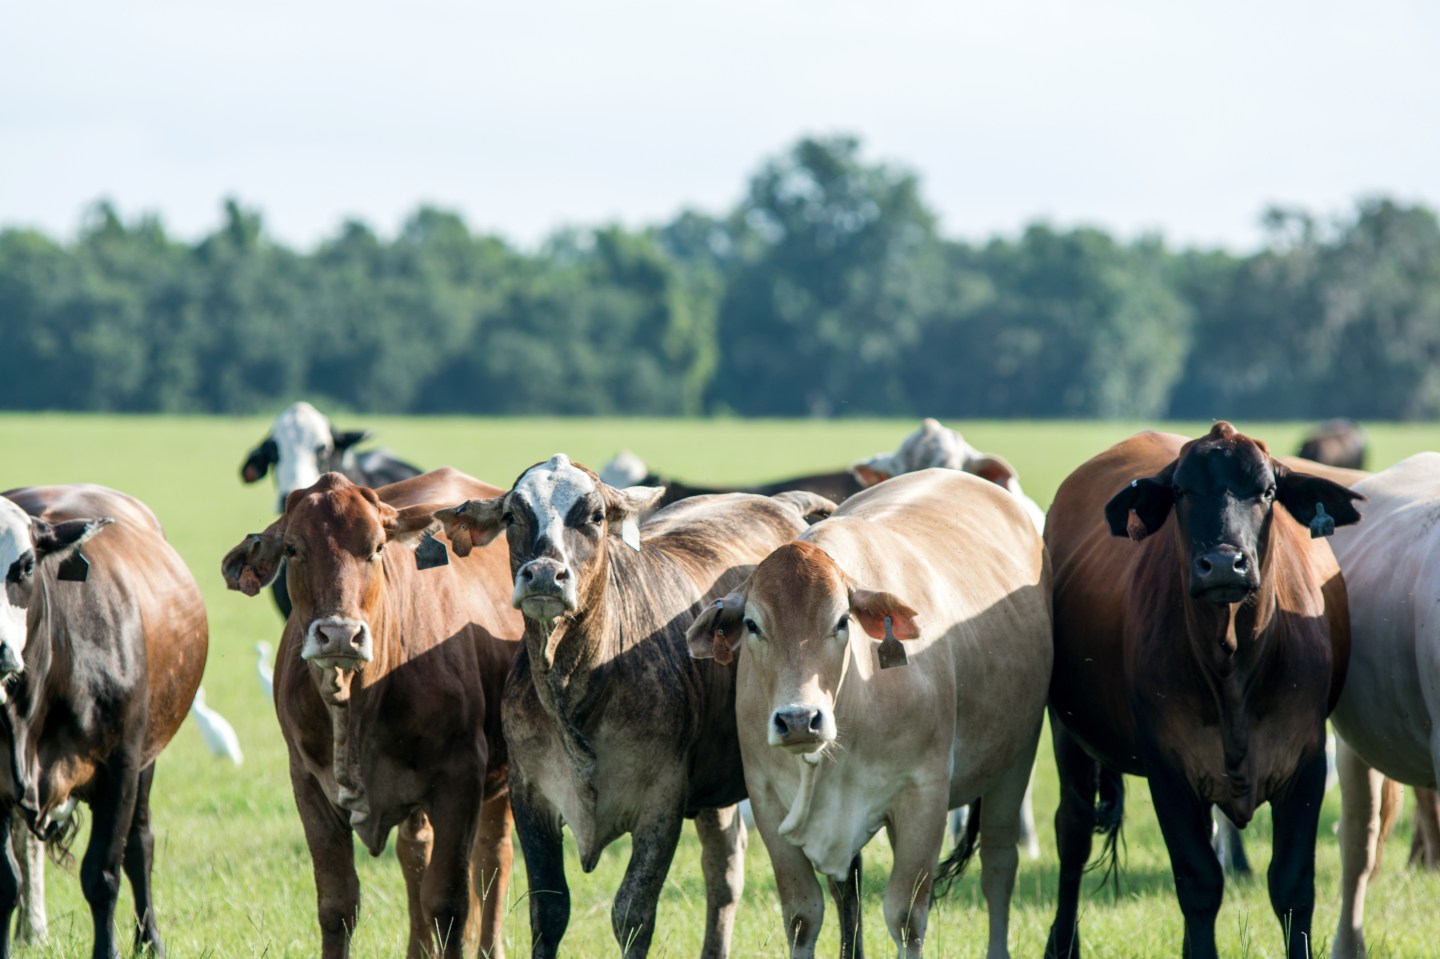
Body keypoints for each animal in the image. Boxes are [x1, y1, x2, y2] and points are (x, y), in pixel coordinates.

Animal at [0, 484, 207, 959]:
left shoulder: (120, 769)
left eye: (23, 566)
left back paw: (148, 939)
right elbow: (5, 880)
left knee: (139, 845)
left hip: (146, 762)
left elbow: (103, 875)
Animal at [221, 468, 521, 959]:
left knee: (491, 861)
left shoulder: (460, 780)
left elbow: (448, 902)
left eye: (377, 547)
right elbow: (337, 904)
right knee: (416, 852)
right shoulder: (308, 784)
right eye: (292, 548)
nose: (340, 634)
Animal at [434, 454, 831, 958]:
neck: (577, 686)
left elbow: (632, 914)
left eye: (596, 516)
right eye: (511, 516)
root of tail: (783, 502)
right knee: (724, 874)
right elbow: (548, 910)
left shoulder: (661, 801)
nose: (543, 574)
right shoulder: (530, 795)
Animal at [687, 468, 1052, 958]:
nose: (799, 719)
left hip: (1016, 758)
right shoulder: (766, 802)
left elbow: (906, 918)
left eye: (842, 621)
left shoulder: (924, 797)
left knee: (998, 863)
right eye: (752, 625)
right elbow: (803, 917)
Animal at [1043, 423, 1360, 959]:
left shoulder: (1306, 762)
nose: (1224, 565)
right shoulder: (1168, 770)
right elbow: (1199, 884)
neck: (1232, 665)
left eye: (1267, 492)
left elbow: (1293, 887)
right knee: (1073, 833)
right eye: (1180, 491)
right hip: (1069, 735)